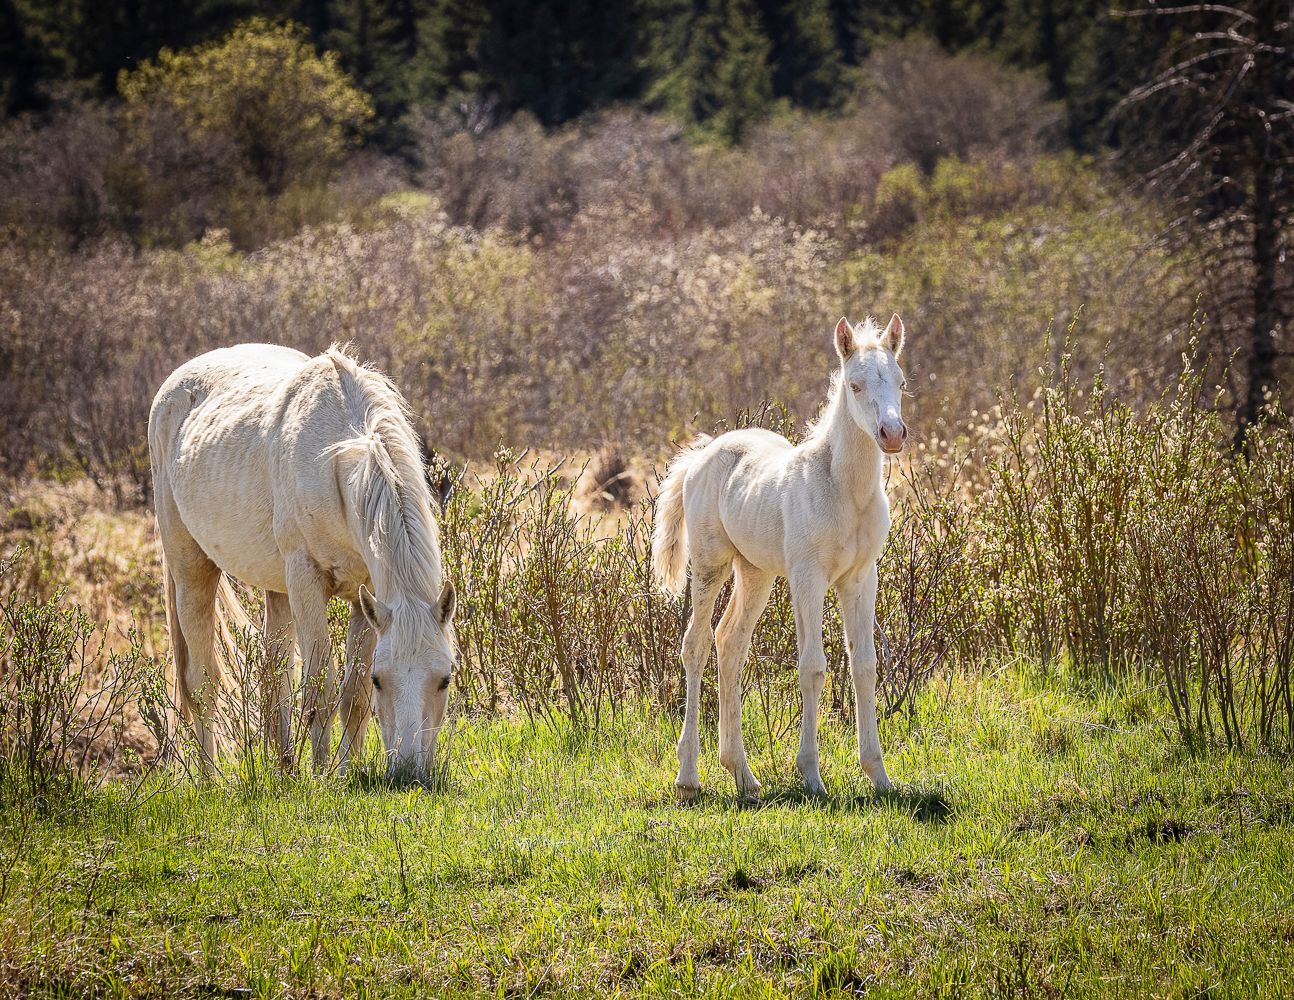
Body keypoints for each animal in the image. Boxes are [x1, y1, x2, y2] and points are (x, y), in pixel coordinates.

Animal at [148, 344, 457, 779]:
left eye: (444, 679)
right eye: (382, 680)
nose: (407, 772)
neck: (337, 462)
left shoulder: (367, 596)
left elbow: (352, 695)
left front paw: (345, 771)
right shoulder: (307, 582)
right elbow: (320, 688)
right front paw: (324, 776)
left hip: (277, 590)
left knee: (272, 676)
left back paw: (284, 769)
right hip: (191, 569)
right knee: (202, 683)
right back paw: (211, 777)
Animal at [652, 314, 908, 799]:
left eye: (901, 382)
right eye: (855, 384)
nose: (892, 434)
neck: (844, 491)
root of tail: (701, 456)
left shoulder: (861, 578)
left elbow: (864, 665)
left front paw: (880, 776)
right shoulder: (807, 577)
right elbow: (812, 667)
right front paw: (811, 775)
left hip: (756, 573)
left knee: (730, 642)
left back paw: (743, 775)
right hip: (711, 565)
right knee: (696, 645)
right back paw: (689, 777)